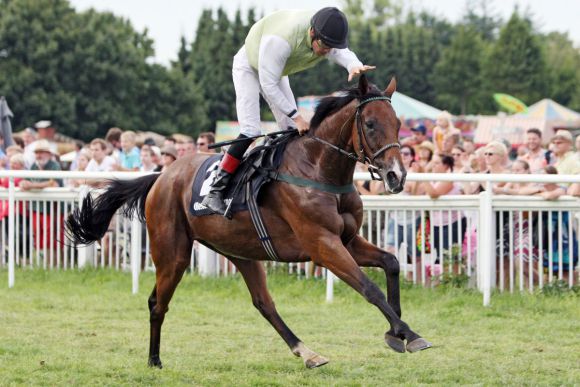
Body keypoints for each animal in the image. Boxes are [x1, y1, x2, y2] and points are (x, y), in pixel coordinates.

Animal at [67, 76, 430, 370]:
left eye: (398, 123)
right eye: (370, 123)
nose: (397, 176)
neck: (318, 169)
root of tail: (161, 176)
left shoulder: (348, 240)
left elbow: (392, 262)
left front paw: (397, 331)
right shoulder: (322, 244)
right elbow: (369, 288)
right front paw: (408, 333)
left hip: (241, 252)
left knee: (263, 303)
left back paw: (307, 352)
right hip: (173, 253)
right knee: (158, 302)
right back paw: (154, 360)